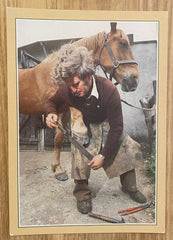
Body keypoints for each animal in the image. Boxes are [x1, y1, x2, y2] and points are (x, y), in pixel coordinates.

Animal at [18, 22, 139, 180]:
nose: (134, 80)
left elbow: (59, 138)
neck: (58, 74)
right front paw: (59, 169)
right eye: (123, 43)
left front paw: (57, 169)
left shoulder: (64, 111)